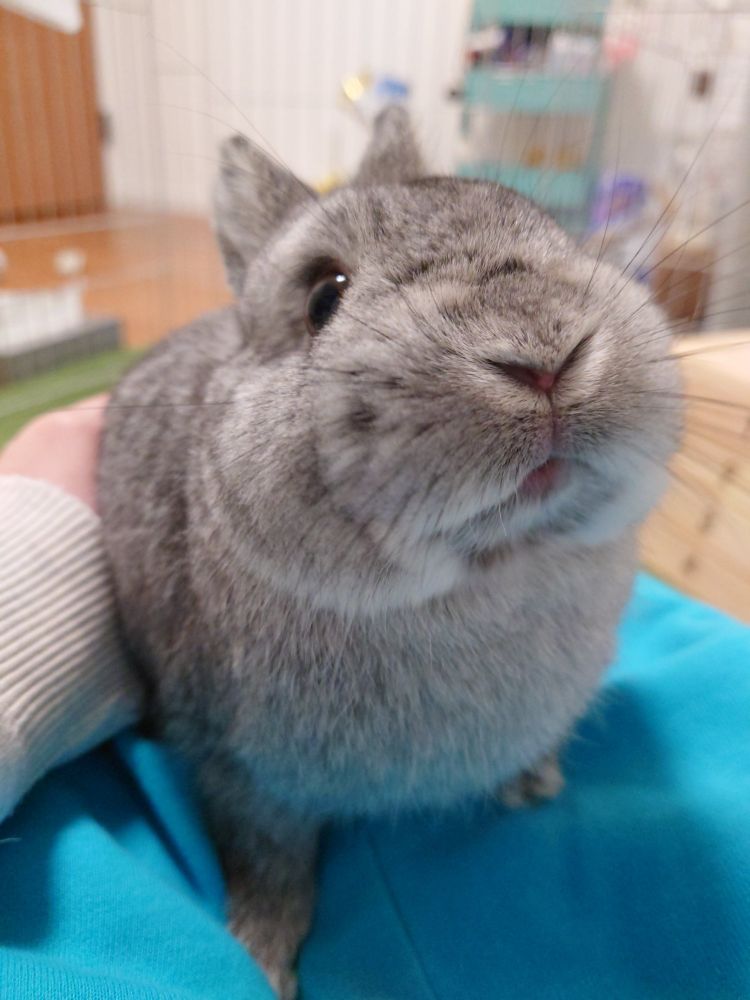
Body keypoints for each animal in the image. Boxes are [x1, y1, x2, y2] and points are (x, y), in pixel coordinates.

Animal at [98, 107, 681, 998]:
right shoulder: (244, 778)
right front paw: (262, 958)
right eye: (322, 296)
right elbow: (270, 868)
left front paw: (534, 781)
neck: (483, 576)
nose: (545, 357)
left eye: (552, 231)